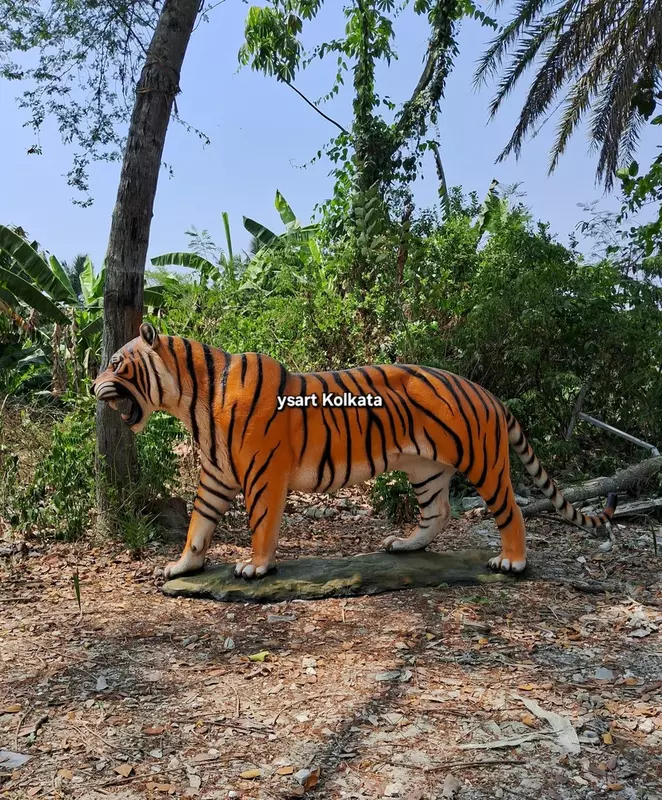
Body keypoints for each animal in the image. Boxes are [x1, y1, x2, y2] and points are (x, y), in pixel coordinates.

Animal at [91, 323, 617, 581]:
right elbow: (198, 527)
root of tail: (490, 394)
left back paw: (512, 562)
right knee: (440, 511)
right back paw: (405, 546)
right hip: (426, 469)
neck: (192, 401)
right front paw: (184, 567)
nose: (92, 385)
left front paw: (256, 567)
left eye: (116, 362)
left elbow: (261, 524)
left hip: (483, 461)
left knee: (511, 510)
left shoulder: (263, 473)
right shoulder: (216, 476)